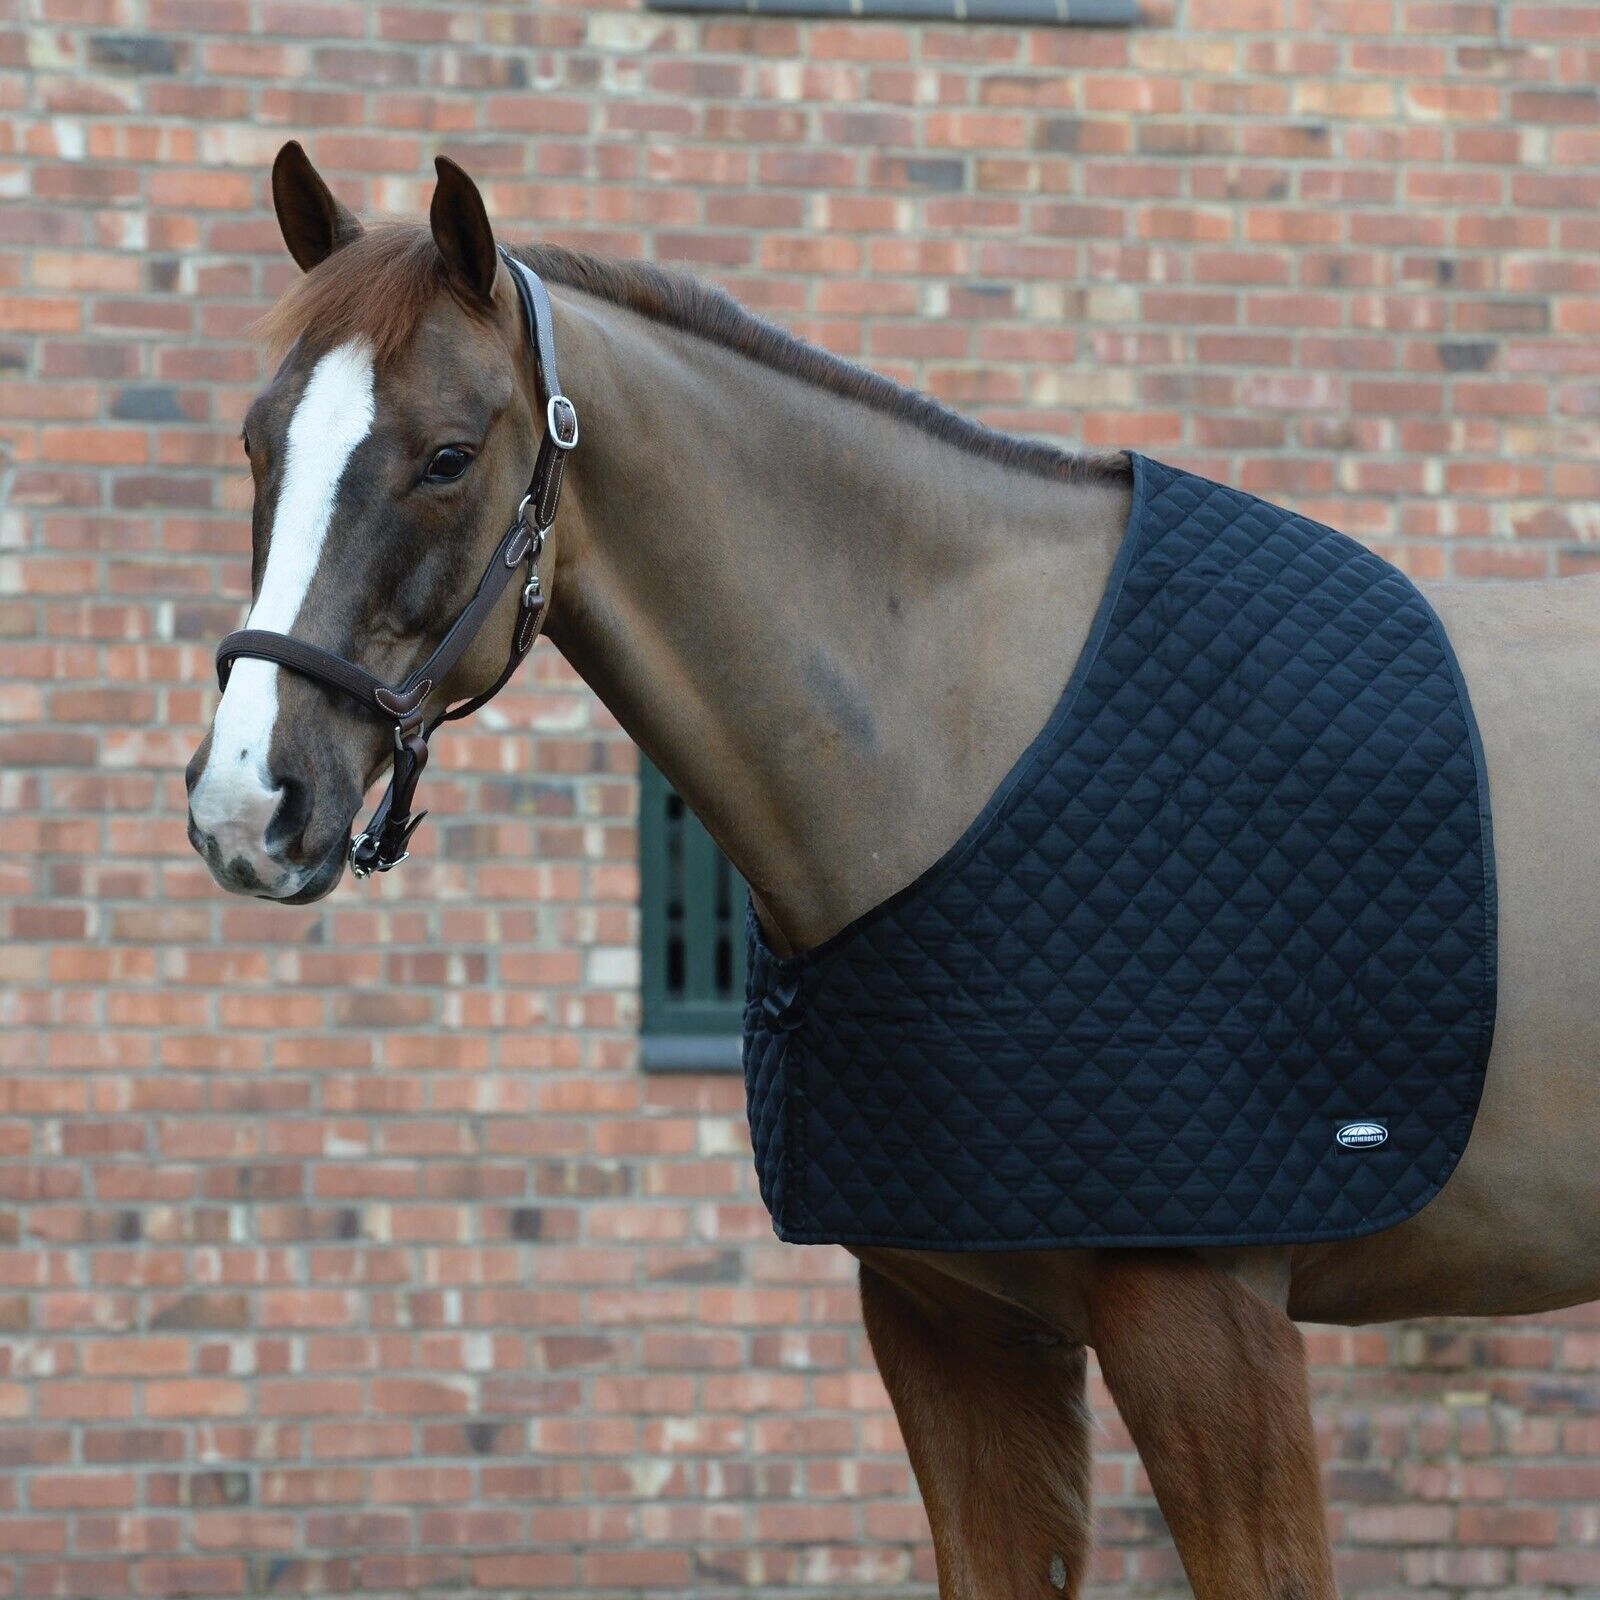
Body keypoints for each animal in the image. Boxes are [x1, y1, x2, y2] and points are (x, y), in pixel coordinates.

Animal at [186, 143, 1600, 1600]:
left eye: (449, 457)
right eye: (255, 443)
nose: (248, 801)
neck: (966, 734)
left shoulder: (1210, 1322)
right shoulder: (945, 1315)